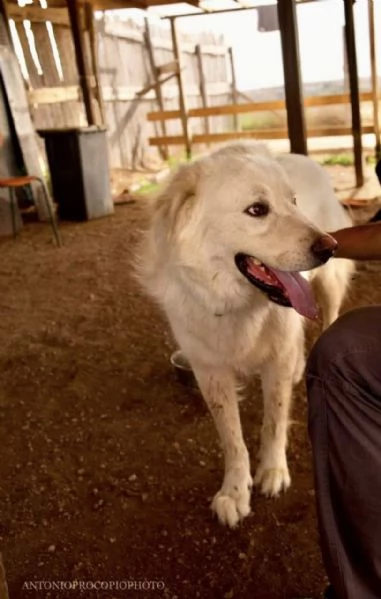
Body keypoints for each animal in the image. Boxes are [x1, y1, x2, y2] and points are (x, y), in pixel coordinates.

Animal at [137, 143, 354, 528]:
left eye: (293, 201)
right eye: (257, 210)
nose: (330, 247)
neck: (237, 303)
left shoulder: (276, 358)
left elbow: (274, 419)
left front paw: (273, 472)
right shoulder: (210, 371)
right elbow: (232, 439)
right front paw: (235, 492)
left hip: (329, 285)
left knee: (328, 318)